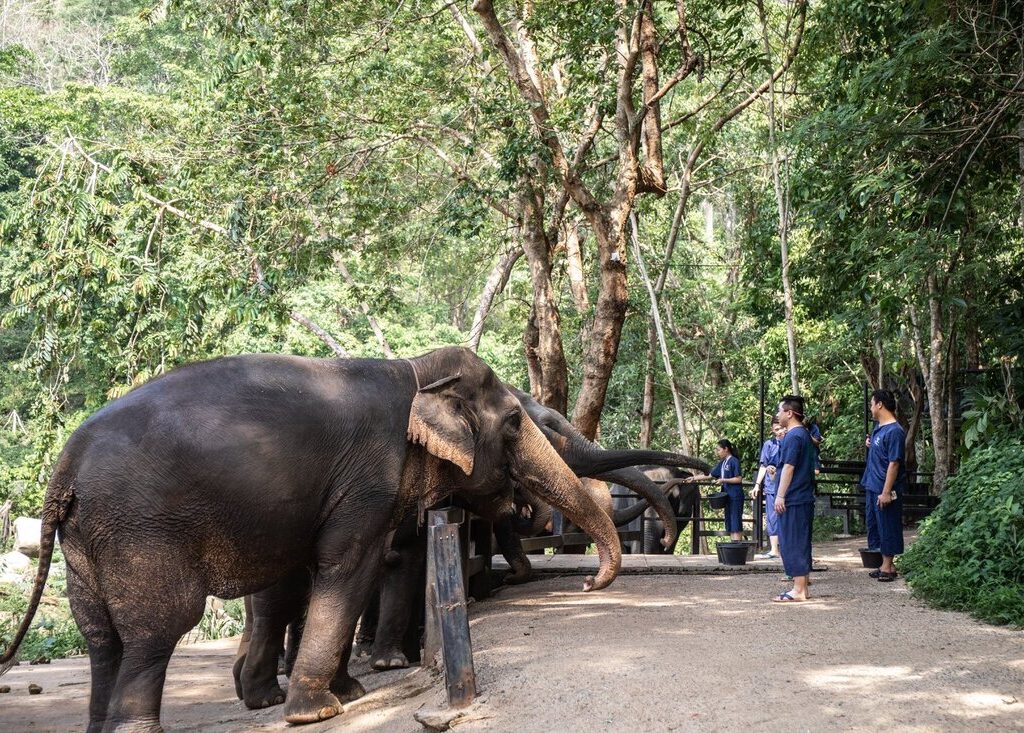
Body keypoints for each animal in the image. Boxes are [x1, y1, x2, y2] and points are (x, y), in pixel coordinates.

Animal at [0, 347, 621, 732]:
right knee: (158, 627)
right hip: (139, 531)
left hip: (87, 542)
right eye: (515, 423)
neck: (414, 371)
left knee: (101, 635)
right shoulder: (368, 479)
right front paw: (318, 713)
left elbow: (345, 575)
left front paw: (351, 694)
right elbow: (348, 567)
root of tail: (64, 469)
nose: (589, 584)